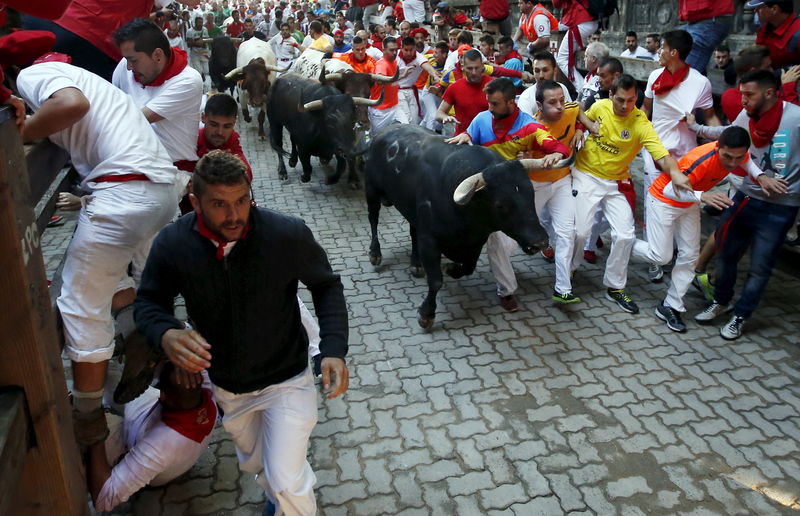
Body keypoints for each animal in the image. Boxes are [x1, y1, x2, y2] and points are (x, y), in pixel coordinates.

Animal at [362, 123, 576, 328]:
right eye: (500, 204)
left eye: (531, 193)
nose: (540, 242)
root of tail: (384, 131)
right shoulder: (430, 239)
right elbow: (436, 280)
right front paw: (426, 314)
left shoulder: (476, 241)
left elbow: (468, 267)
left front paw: (452, 269)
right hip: (371, 191)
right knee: (373, 219)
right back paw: (375, 254)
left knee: (412, 230)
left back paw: (415, 264)